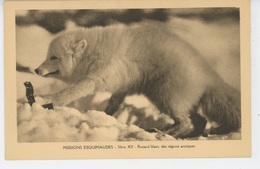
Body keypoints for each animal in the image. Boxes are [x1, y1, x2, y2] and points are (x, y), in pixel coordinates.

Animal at [35, 22, 241, 139]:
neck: (93, 52)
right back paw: (185, 135)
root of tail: (210, 76)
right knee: (199, 120)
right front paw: (106, 114)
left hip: (167, 95)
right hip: (167, 96)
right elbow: (114, 102)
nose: (36, 70)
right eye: (47, 56)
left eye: (54, 57)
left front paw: (47, 99)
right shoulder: (122, 84)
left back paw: (164, 134)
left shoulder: (102, 73)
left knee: (186, 120)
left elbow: (74, 90)